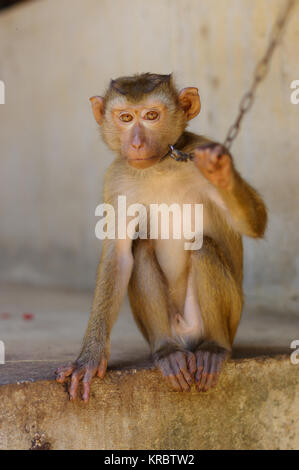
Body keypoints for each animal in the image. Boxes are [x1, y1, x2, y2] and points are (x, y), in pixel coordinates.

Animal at [55, 72, 268, 400]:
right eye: (126, 117)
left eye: (151, 116)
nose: (137, 143)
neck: (160, 166)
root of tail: (187, 339)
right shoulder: (117, 178)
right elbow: (119, 256)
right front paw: (89, 359)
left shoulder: (196, 152)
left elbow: (255, 222)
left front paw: (222, 172)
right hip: (168, 327)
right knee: (141, 249)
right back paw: (167, 351)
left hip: (229, 319)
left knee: (204, 248)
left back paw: (214, 348)